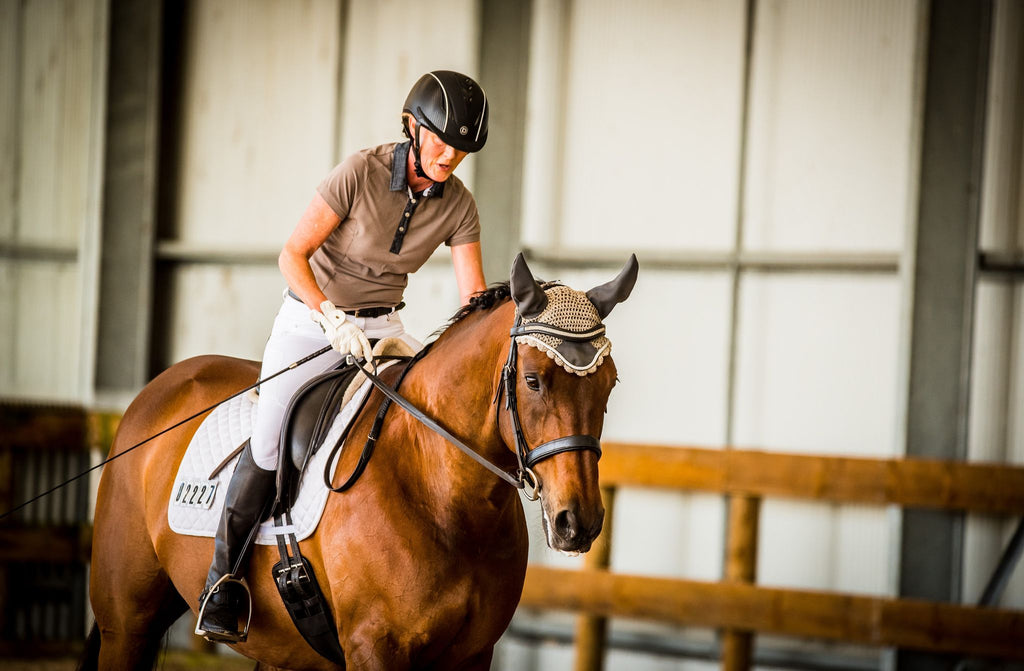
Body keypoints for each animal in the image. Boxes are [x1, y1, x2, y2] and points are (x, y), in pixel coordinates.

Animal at [83, 253, 634, 671]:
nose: (578, 523)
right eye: (534, 380)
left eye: (610, 386)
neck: (442, 493)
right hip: (126, 625)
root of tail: (161, 386)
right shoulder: (375, 650)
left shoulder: (474, 656)